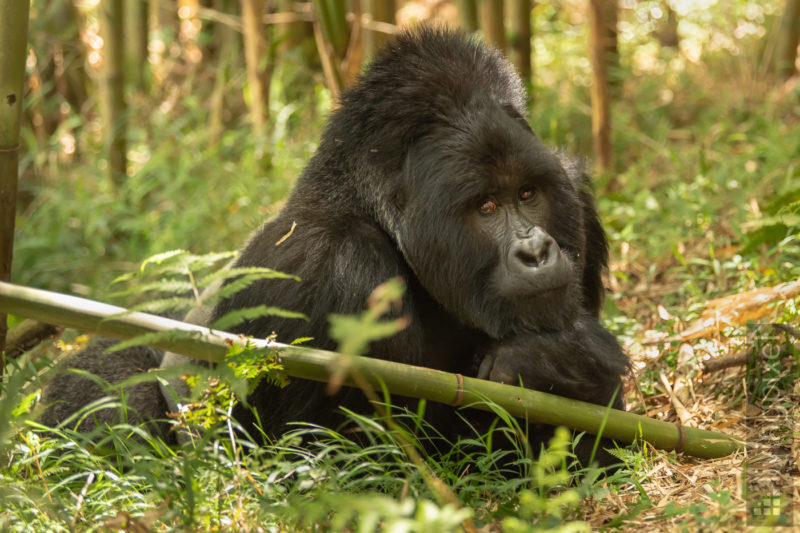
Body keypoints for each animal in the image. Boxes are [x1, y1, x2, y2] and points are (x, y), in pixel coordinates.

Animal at [40, 26, 632, 466]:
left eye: (527, 195)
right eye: (486, 207)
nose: (535, 253)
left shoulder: (574, 196)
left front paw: (564, 362)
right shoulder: (334, 265)